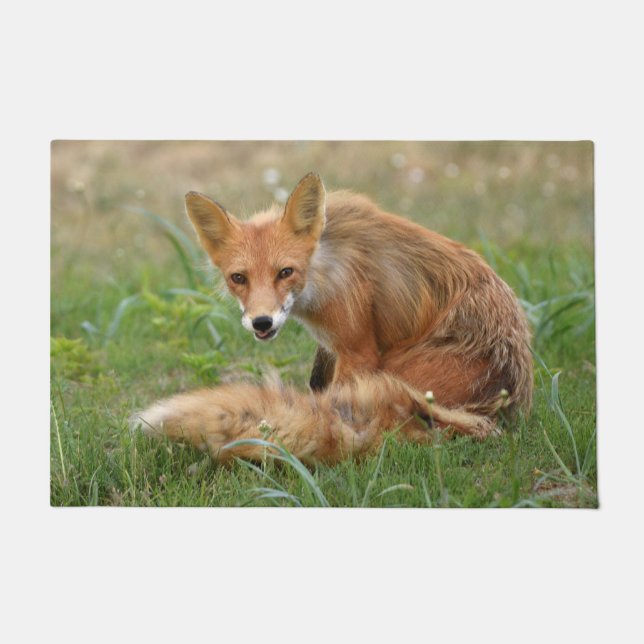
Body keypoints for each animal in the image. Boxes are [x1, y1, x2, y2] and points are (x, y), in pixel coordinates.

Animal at [132, 172, 532, 459]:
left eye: (285, 272)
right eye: (238, 278)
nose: (262, 322)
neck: (321, 270)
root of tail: (501, 410)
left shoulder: (357, 349)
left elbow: (326, 405)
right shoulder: (330, 349)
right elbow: (315, 385)